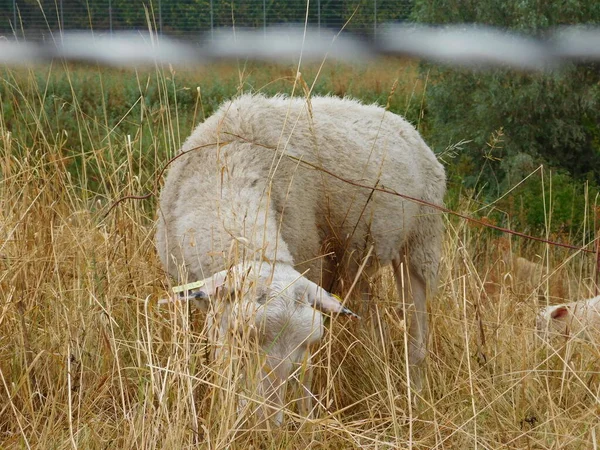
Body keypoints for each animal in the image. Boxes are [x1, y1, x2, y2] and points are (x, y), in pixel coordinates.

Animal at [155, 93, 446, 424]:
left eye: (308, 344)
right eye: (240, 337)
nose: (268, 422)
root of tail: (405, 124)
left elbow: (307, 378)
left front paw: (306, 418)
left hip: (421, 244)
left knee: (417, 329)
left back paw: (417, 394)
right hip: (360, 260)